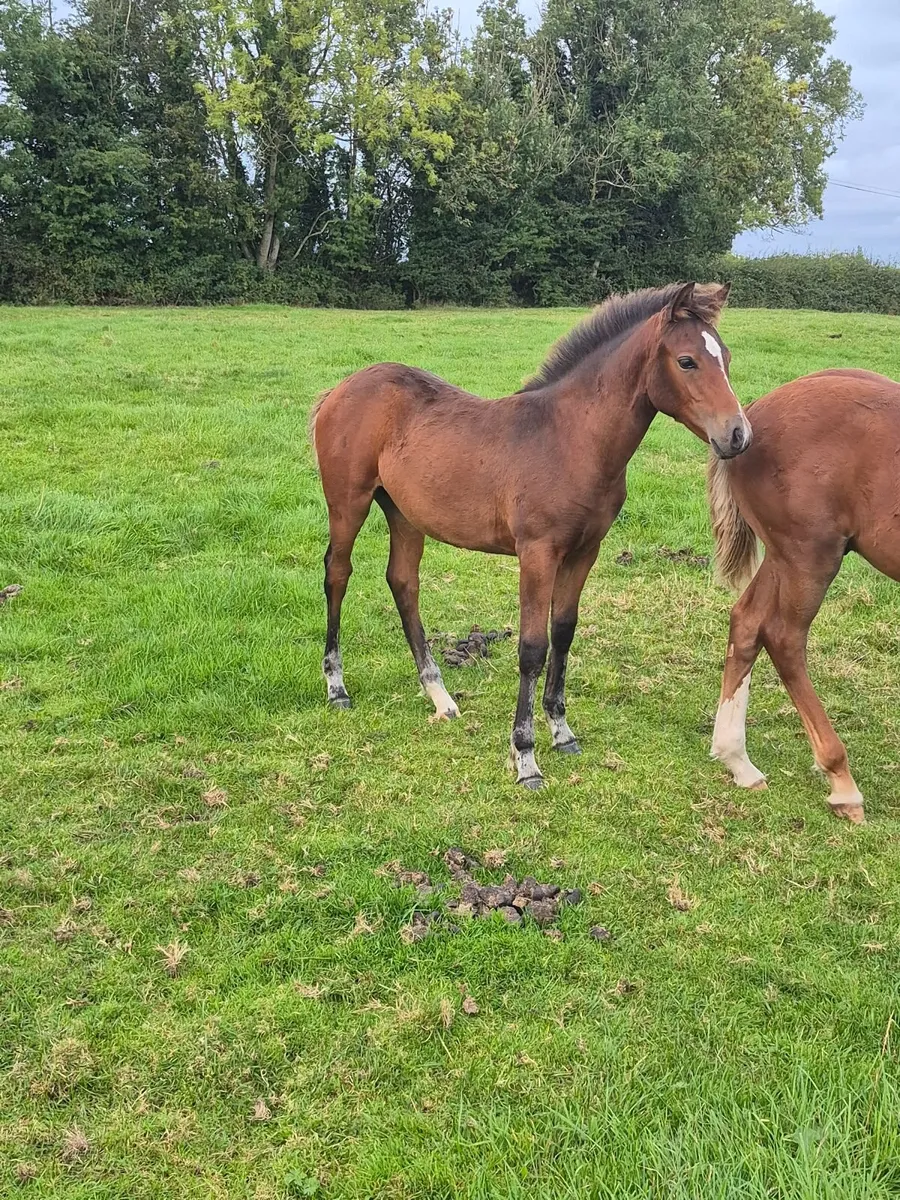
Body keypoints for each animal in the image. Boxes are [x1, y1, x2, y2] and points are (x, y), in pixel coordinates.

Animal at [311, 281, 751, 788]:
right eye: (686, 361)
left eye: (727, 357)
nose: (738, 434)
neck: (572, 439)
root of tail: (341, 388)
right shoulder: (538, 552)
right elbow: (532, 647)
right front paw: (525, 756)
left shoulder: (584, 551)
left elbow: (563, 633)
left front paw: (562, 731)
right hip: (349, 502)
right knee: (337, 573)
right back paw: (337, 687)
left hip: (403, 513)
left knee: (403, 582)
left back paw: (440, 696)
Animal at [708, 367, 900, 825]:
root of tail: (749, 417)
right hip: (809, 557)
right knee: (784, 637)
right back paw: (841, 781)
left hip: (783, 556)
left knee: (747, 621)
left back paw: (737, 760)